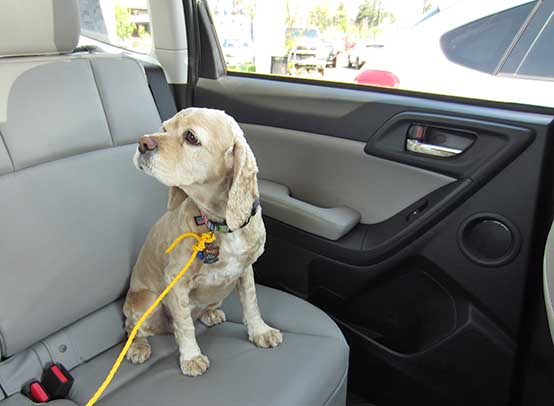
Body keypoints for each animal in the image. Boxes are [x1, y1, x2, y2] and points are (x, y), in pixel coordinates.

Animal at [124, 106, 280, 376]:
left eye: (191, 137)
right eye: (164, 129)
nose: (143, 143)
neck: (220, 224)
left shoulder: (245, 270)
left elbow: (251, 302)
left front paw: (261, 331)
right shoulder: (176, 281)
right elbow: (184, 325)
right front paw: (191, 357)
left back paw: (210, 314)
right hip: (145, 300)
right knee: (133, 327)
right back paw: (138, 347)